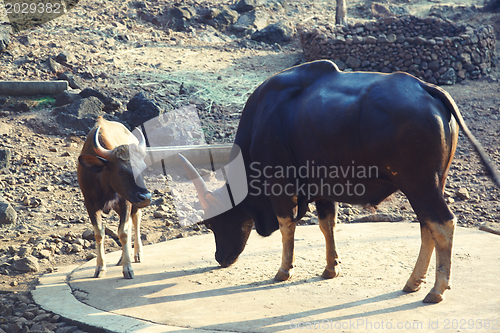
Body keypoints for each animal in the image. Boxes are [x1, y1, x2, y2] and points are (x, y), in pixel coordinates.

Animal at [77, 116, 151, 278]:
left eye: (143, 168)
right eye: (121, 171)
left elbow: (123, 232)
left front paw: (128, 268)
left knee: (135, 218)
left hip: (131, 203)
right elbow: (99, 233)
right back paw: (122, 257)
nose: (146, 196)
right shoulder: (90, 204)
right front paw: (100, 267)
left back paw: (137, 254)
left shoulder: (125, 201)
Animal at [180, 59, 500, 300]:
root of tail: (427, 89)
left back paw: (436, 290)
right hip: (432, 183)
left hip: (420, 184)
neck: (265, 118)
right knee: (427, 226)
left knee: (443, 224)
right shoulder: (323, 189)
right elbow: (327, 224)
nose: (221, 257)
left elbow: (287, 226)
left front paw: (284, 270)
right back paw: (414, 282)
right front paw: (330, 268)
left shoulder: (279, 187)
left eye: (214, 221)